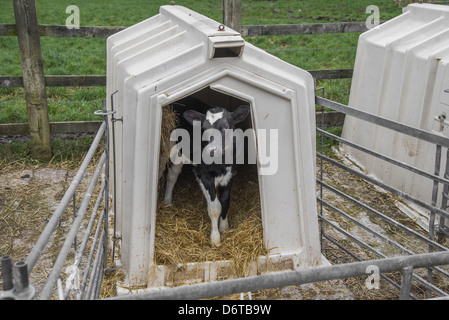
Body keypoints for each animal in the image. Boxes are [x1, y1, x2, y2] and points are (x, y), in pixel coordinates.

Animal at [163, 97, 250, 248]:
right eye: (203, 128)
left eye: (225, 126)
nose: (211, 150)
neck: (221, 163)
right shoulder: (203, 174)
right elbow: (215, 207)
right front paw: (215, 238)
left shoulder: (230, 174)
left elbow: (225, 201)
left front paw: (224, 227)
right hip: (173, 148)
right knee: (172, 175)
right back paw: (167, 201)